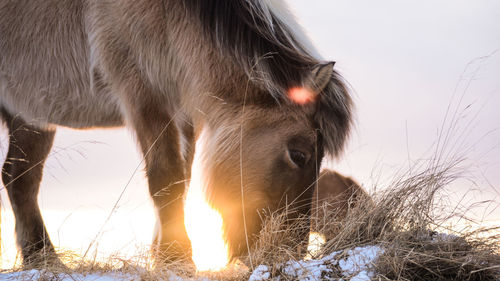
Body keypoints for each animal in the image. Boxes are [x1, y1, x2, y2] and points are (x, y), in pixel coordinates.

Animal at [0, 0, 352, 264]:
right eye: (298, 154)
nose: (287, 253)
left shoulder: (183, 114)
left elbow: (181, 181)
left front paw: (163, 256)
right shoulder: (145, 99)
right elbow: (165, 179)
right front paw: (178, 257)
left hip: (30, 116)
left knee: (20, 180)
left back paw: (43, 259)